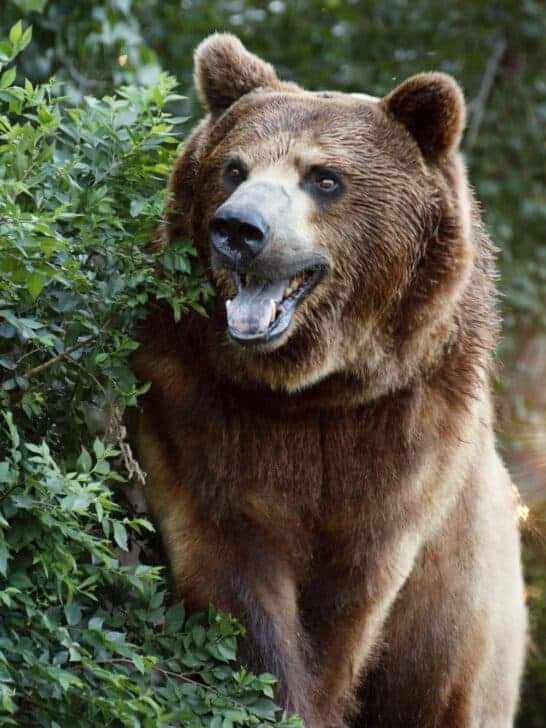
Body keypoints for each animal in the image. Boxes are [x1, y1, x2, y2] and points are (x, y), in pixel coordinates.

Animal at [135, 33, 527, 728]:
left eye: (324, 177)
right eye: (234, 168)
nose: (239, 229)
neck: (314, 389)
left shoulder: (403, 444)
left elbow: (347, 602)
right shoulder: (198, 410)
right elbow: (235, 570)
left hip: (464, 639)